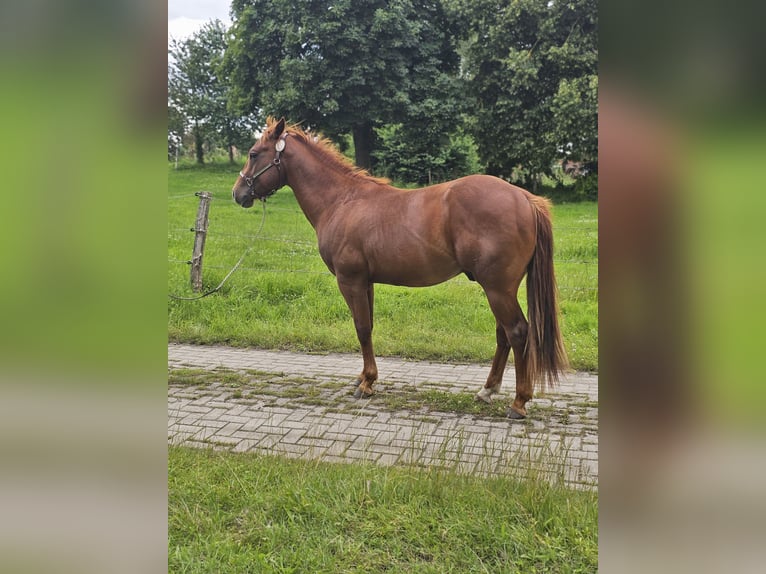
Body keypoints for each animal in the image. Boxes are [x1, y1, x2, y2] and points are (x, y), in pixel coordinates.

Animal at [231, 119, 568, 420]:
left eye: (253, 153)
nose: (238, 194)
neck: (342, 201)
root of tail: (523, 197)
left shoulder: (350, 280)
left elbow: (361, 328)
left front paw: (366, 384)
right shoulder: (366, 282)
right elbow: (367, 327)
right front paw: (364, 377)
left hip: (497, 288)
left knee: (518, 333)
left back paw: (519, 403)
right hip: (500, 289)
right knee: (503, 335)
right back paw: (487, 391)